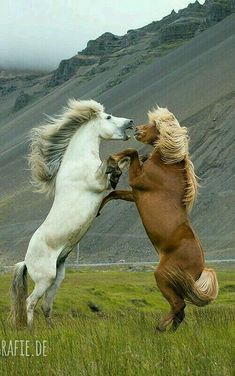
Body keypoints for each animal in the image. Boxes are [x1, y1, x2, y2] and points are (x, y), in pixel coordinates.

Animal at [11, 99, 134, 326]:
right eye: (108, 117)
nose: (130, 122)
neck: (77, 160)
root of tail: (26, 261)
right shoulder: (97, 182)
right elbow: (109, 161)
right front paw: (114, 172)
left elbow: (121, 160)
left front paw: (119, 170)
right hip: (45, 279)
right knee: (30, 302)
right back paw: (32, 330)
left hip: (57, 278)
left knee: (46, 306)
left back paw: (52, 329)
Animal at [99, 106, 218, 332]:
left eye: (155, 125)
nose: (135, 128)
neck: (165, 165)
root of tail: (200, 269)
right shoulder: (135, 194)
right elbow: (113, 194)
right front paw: (99, 206)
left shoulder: (137, 181)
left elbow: (132, 152)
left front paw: (114, 165)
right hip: (174, 284)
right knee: (180, 310)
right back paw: (168, 332)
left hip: (162, 276)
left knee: (179, 305)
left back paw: (160, 327)